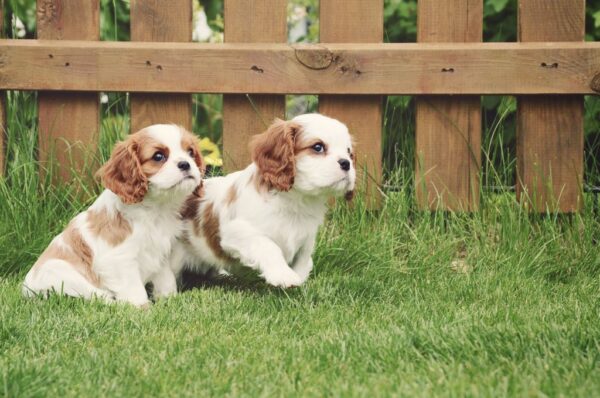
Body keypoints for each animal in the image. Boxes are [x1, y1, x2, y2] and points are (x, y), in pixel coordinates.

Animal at [22, 126, 204, 306]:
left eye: (190, 152)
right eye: (158, 156)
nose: (185, 164)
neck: (156, 209)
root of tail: (26, 290)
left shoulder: (160, 253)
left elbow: (166, 279)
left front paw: (170, 299)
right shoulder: (120, 259)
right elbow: (133, 288)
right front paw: (142, 308)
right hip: (60, 271)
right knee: (99, 297)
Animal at [171, 113, 354, 288]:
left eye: (349, 152)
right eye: (318, 147)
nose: (346, 163)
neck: (297, 200)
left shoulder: (307, 240)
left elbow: (303, 262)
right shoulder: (236, 232)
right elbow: (268, 245)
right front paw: (283, 275)